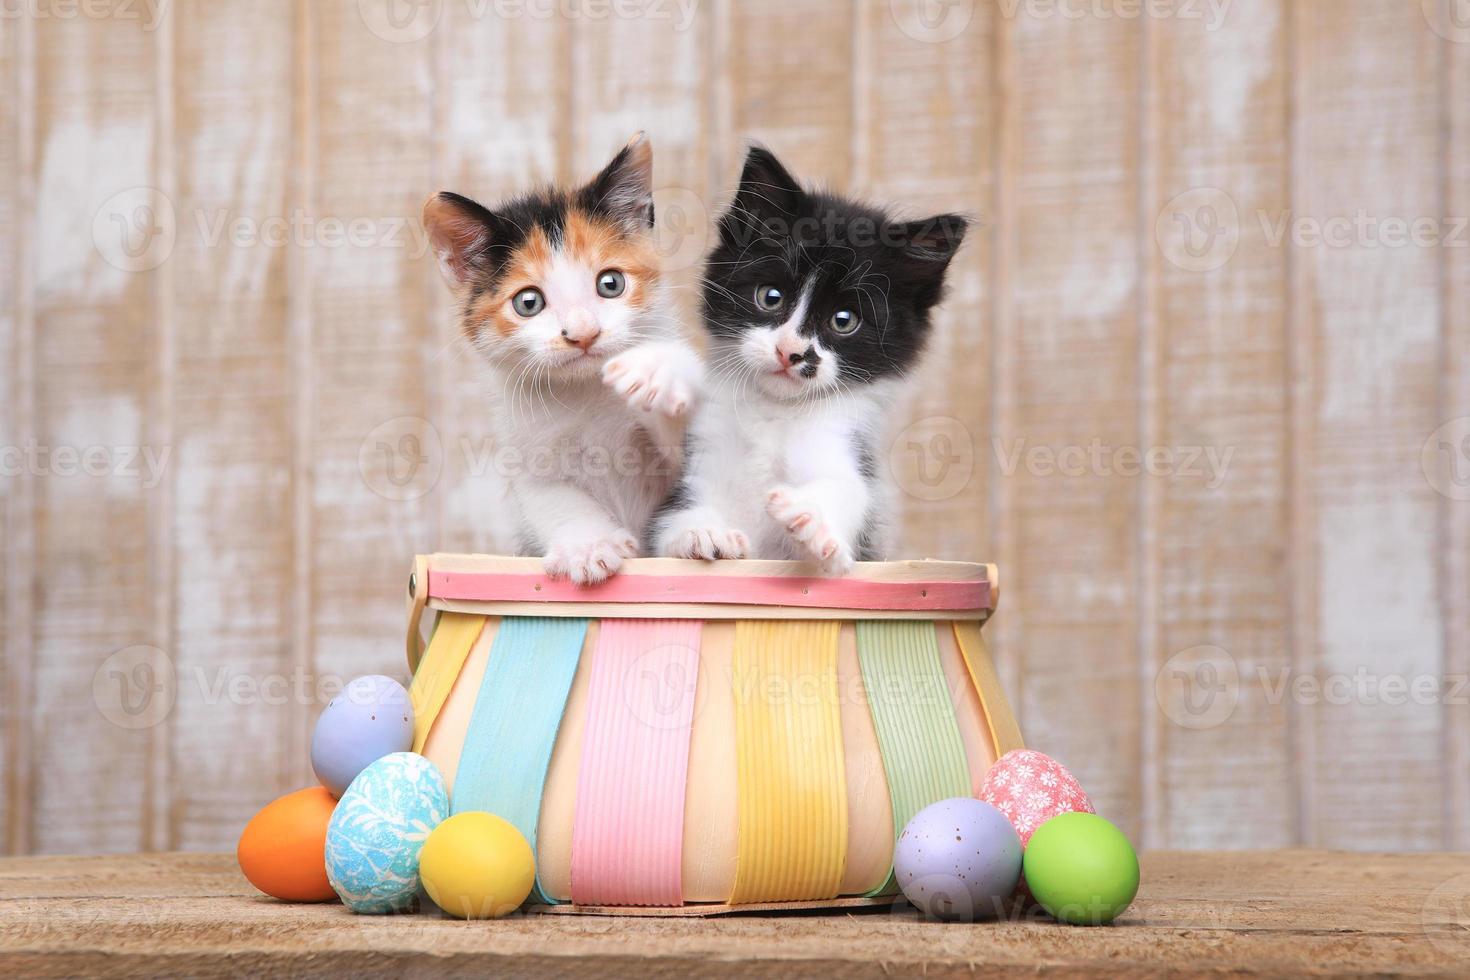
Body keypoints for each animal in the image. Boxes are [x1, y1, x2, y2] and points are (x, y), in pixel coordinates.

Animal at [426, 135, 699, 581]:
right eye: (529, 302)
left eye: (611, 283)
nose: (583, 333)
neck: (587, 390)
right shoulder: (526, 450)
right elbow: (551, 496)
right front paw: (589, 546)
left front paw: (658, 372)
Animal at [652, 145, 970, 575]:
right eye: (770, 297)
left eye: (844, 320)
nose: (791, 351)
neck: (776, 414)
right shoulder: (700, 452)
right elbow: (674, 513)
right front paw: (701, 531)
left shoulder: (844, 450)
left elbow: (846, 491)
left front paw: (812, 518)